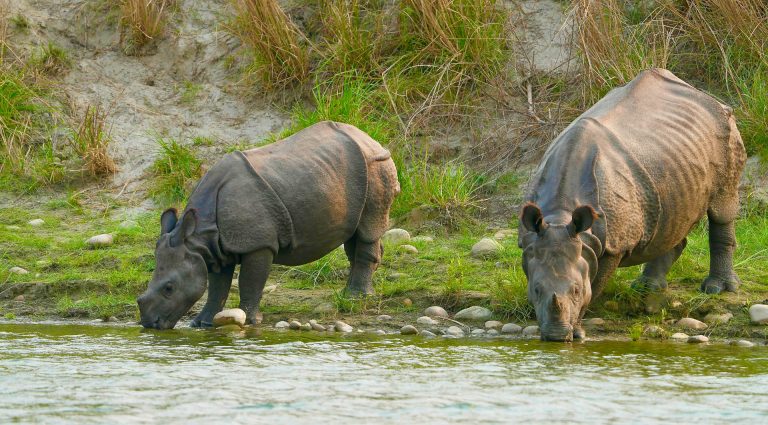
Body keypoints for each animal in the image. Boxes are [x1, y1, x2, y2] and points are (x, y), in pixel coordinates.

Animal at [137, 121, 399, 329]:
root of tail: (370, 139)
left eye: (169, 288)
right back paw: (357, 292)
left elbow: (250, 281)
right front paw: (203, 323)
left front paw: (249, 320)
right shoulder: (216, 248)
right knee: (354, 235)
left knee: (367, 229)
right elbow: (217, 286)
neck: (198, 236)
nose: (150, 324)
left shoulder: (259, 243)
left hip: (375, 166)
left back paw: (356, 297)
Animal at [518, 69, 746, 342]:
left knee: (722, 207)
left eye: (575, 291)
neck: (560, 213)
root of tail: (705, 96)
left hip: (725, 131)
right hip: (670, 160)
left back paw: (717, 289)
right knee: (670, 216)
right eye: (536, 290)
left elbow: (594, 286)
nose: (555, 337)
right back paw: (646, 288)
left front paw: (579, 333)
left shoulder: (611, 246)